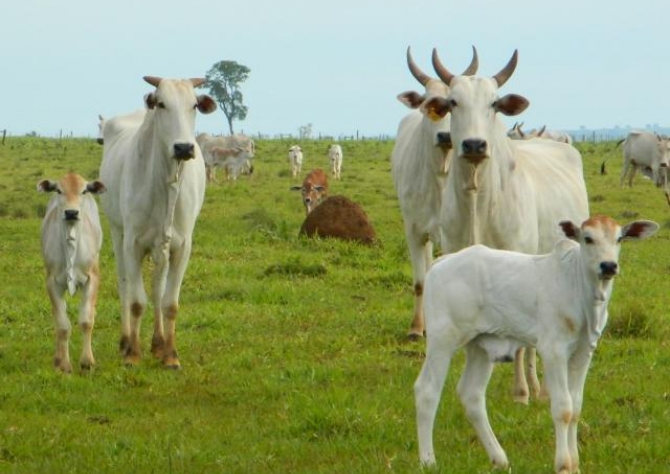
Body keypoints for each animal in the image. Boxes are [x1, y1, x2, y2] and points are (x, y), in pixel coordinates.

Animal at [38, 172, 105, 372]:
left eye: (83, 191)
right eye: (59, 190)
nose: (71, 213)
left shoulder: (93, 278)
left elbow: (86, 320)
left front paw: (87, 361)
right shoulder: (52, 282)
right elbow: (62, 324)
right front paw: (64, 365)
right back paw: (58, 358)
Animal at [100, 76, 218, 368]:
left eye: (194, 105)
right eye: (161, 104)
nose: (184, 147)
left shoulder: (181, 247)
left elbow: (169, 302)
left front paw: (170, 355)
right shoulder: (132, 243)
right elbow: (136, 301)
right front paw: (133, 354)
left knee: (156, 289)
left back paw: (157, 343)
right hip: (117, 233)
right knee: (124, 286)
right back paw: (125, 341)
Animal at [392, 46, 480, 338]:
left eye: (454, 104)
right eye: (429, 105)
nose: (445, 137)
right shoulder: (413, 230)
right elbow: (420, 281)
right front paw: (416, 328)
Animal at [418, 216, 660, 474]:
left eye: (619, 238)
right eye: (588, 238)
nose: (608, 266)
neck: (581, 290)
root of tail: (442, 261)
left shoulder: (584, 352)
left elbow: (576, 407)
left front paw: (575, 465)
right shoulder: (553, 350)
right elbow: (563, 408)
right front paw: (563, 464)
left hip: (480, 345)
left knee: (471, 394)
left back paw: (499, 459)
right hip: (443, 338)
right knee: (427, 390)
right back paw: (428, 460)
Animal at [430, 50, 592, 402]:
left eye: (494, 103)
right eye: (453, 102)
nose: (474, 145)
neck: (478, 200)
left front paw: (520, 391)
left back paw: (535, 386)